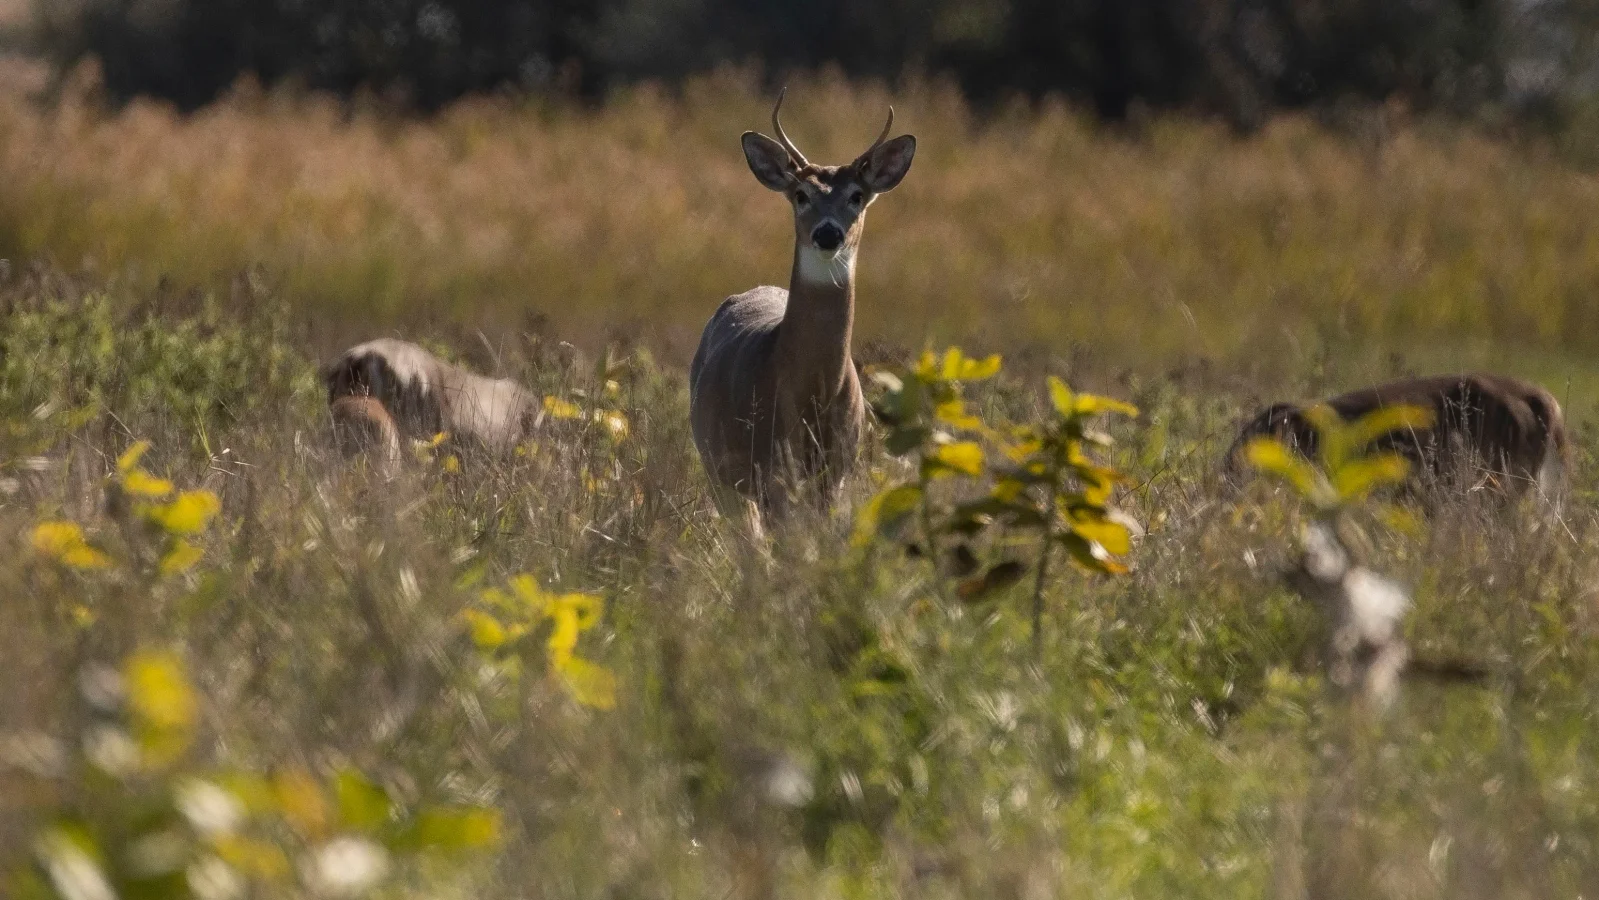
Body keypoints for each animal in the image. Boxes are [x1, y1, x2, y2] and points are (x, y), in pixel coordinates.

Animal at [689, 90, 916, 528]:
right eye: (801, 195)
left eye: (856, 195)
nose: (828, 233)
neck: (810, 390)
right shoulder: (772, 465)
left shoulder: (839, 468)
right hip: (717, 465)